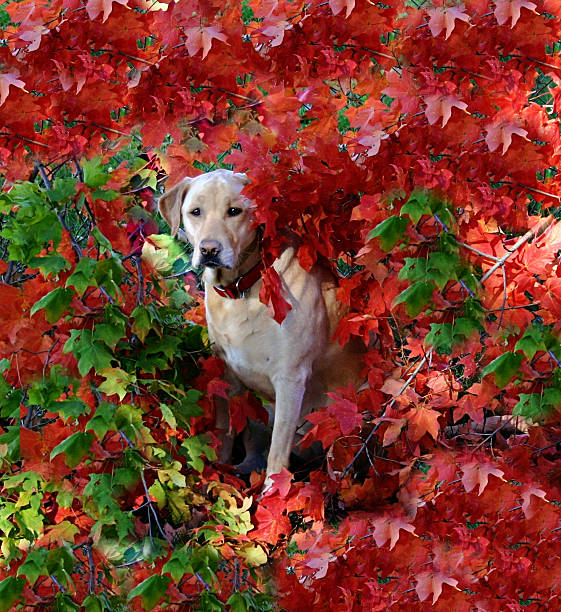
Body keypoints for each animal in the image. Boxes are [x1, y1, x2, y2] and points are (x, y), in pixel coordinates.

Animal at [161, 170, 364, 486]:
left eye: (235, 211)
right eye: (195, 212)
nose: (209, 250)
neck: (242, 288)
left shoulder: (290, 379)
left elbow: (277, 456)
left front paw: (274, 492)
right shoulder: (226, 374)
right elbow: (225, 429)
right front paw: (219, 474)